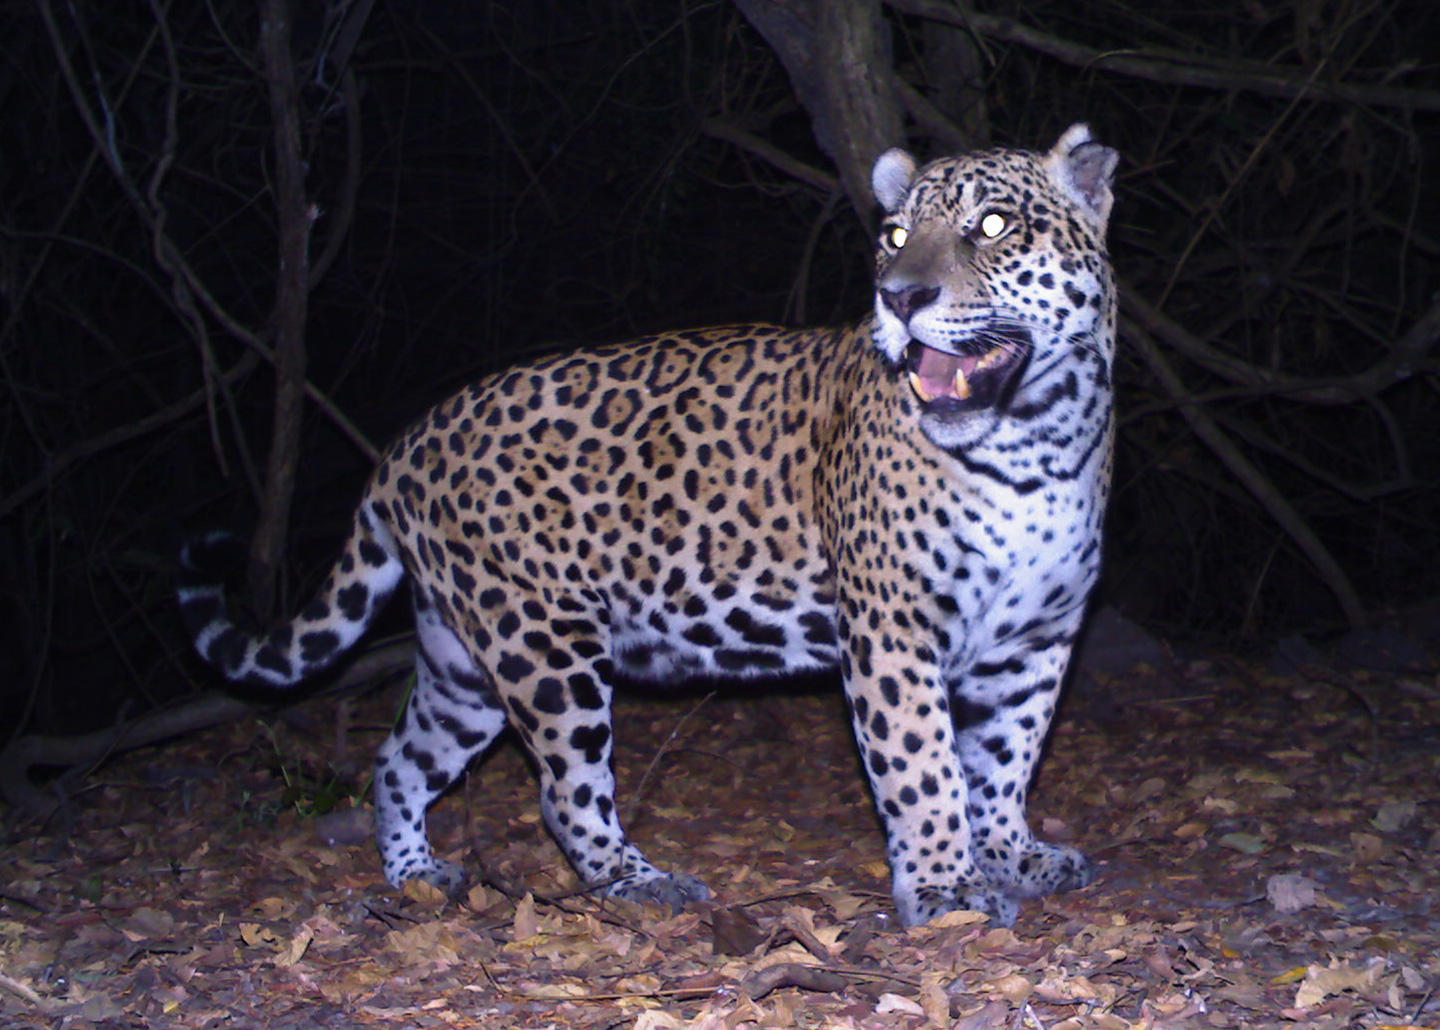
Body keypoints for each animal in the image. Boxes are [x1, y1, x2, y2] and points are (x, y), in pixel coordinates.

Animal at [178, 124, 1119, 928]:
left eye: (991, 226)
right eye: (892, 237)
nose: (899, 297)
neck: (1036, 440)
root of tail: (406, 443)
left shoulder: (1036, 639)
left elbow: (1007, 757)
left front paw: (1011, 856)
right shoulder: (894, 631)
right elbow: (925, 766)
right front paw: (946, 890)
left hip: (463, 662)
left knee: (399, 759)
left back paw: (415, 873)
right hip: (546, 649)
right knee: (563, 792)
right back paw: (643, 884)